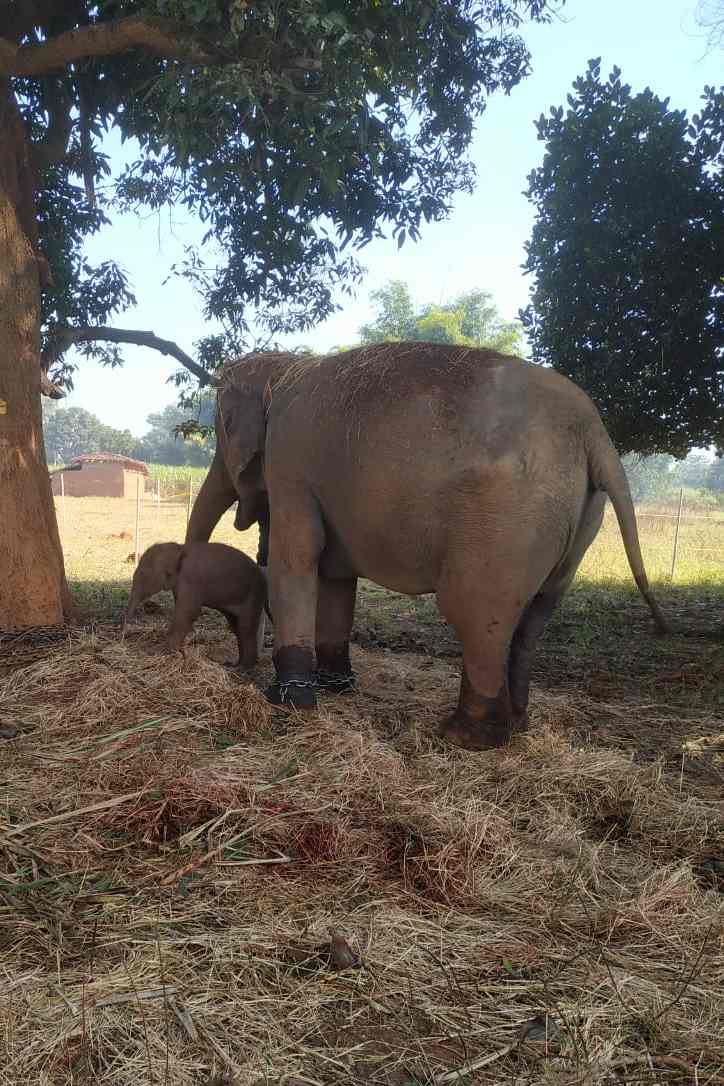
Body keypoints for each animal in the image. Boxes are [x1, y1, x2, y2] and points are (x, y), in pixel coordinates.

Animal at [123, 538, 268, 664]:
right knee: (235, 625)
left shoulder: (190, 578)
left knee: (245, 627)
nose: (123, 635)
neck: (180, 549)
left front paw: (158, 651)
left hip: (253, 593)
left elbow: (189, 612)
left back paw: (242, 668)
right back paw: (234, 665)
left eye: (142, 575)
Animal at [186, 343, 668, 751]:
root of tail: (595, 433)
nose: (235, 666)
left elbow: (296, 559)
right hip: (577, 521)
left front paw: (289, 703)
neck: (287, 366)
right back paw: (517, 725)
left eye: (221, 434)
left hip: (505, 523)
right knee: (534, 615)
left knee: (473, 611)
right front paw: (335, 687)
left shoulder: (290, 463)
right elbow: (337, 577)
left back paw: (466, 736)